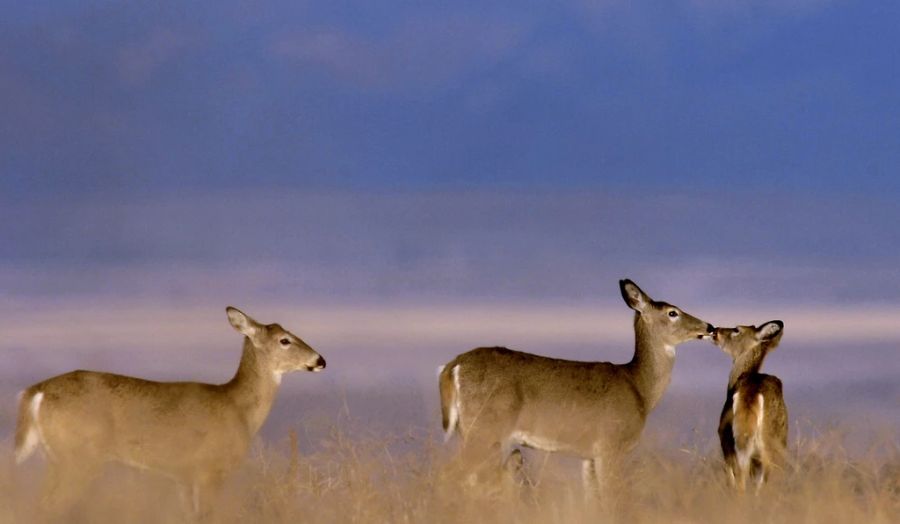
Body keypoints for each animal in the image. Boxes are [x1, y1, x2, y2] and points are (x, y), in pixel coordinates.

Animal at [14, 308, 326, 516]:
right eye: (285, 340)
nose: (320, 360)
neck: (238, 408)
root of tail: (36, 392)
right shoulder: (209, 469)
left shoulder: (182, 476)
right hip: (78, 457)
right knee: (50, 507)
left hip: (55, 458)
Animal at [440, 280, 712, 494]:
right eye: (672, 312)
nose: (708, 327)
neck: (639, 388)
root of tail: (453, 365)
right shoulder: (610, 445)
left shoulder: (588, 456)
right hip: (485, 428)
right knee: (449, 473)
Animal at [712, 320, 788, 492]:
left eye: (736, 329)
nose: (715, 330)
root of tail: (751, 392)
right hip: (771, 443)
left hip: (733, 439)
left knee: (742, 478)